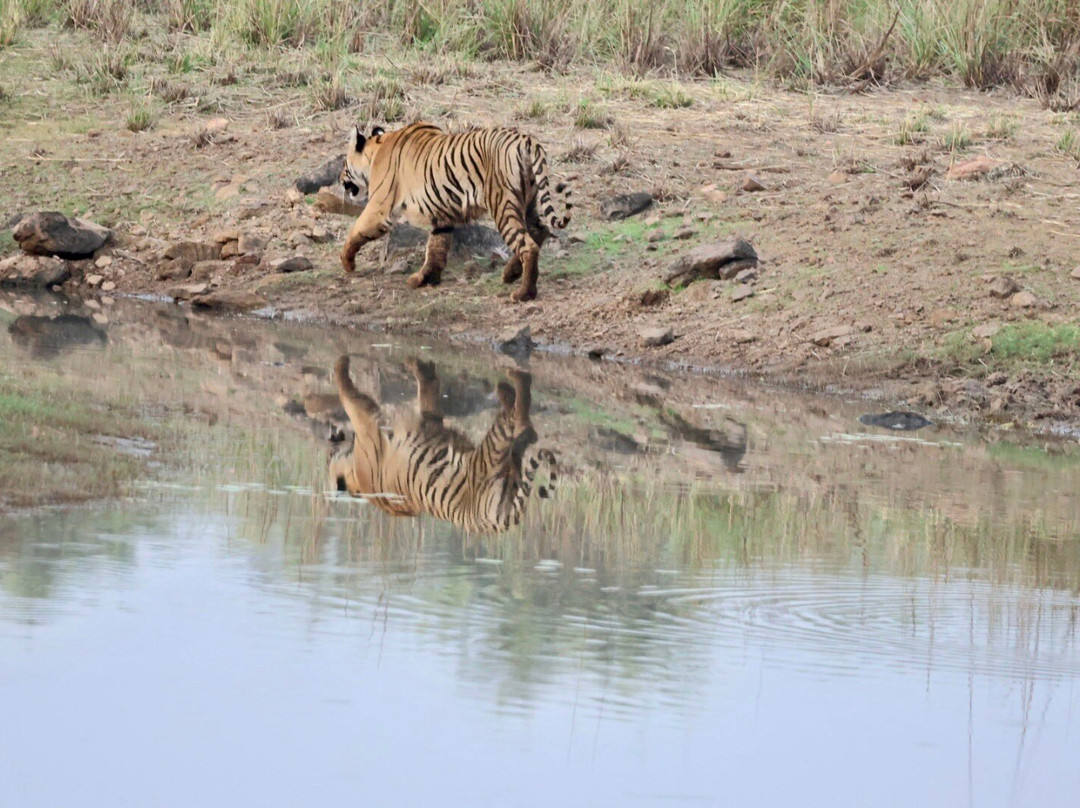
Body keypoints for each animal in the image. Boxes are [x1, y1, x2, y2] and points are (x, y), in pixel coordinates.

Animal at [328, 354, 557, 533]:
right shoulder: (429, 419)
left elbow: (347, 397)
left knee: (520, 421)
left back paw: (512, 379)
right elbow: (428, 393)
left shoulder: (367, 427)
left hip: (489, 452)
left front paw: (340, 364)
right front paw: (423, 368)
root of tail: (503, 522)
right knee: (522, 427)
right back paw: (507, 389)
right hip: (505, 462)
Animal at [338, 122, 573, 303]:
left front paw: (347, 263)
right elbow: (436, 247)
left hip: (503, 204)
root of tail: (526, 138)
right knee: (539, 230)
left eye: (344, 164)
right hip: (529, 202)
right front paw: (424, 278)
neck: (376, 150)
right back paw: (510, 274)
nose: (340, 179)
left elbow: (356, 231)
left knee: (528, 245)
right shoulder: (441, 214)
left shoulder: (379, 207)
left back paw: (524, 293)